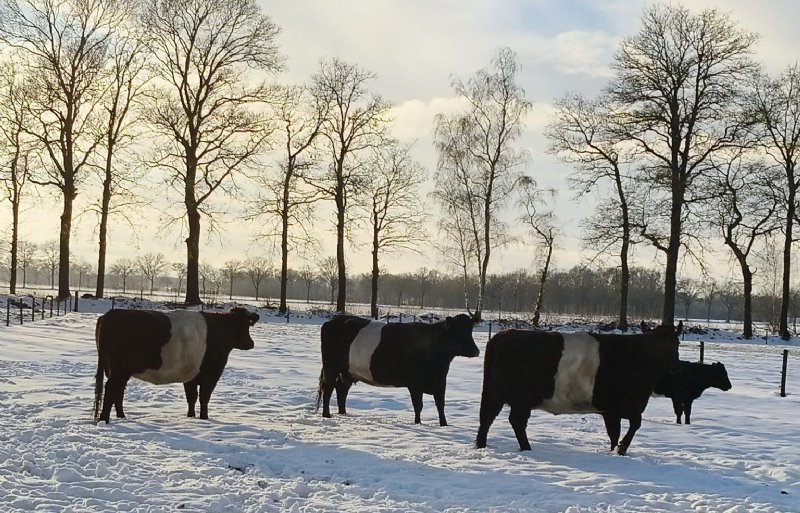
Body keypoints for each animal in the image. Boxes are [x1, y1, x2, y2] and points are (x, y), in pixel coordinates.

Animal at [93, 307, 259, 424]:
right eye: (246, 325)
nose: (251, 344)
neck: (221, 330)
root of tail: (110, 314)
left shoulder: (191, 375)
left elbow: (192, 397)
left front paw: (190, 416)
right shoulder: (212, 374)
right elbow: (204, 397)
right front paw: (204, 418)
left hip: (116, 370)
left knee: (118, 391)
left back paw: (121, 416)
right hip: (120, 370)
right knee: (111, 390)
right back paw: (104, 419)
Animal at [316, 313, 479, 426]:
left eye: (470, 330)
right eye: (459, 332)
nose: (476, 351)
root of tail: (333, 320)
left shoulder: (440, 383)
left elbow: (441, 405)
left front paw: (444, 425)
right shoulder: (415, 384)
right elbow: (418, 406)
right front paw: (418, 423)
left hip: (347, 372)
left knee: (341, 390)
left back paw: (343, 414)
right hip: (331, 367)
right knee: (328, 389)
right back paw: (327, 415)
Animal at [475, 324, 681, 455]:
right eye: (677, 344)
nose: (676, 365)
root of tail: (502, 335)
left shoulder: (610, 410)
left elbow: (614, 432)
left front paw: (614, 449)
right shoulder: (624, 405)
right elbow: (633, 425)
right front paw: (622, 448)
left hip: (495, 392)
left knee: (487, 416)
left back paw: (481, 445)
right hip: (521, 398)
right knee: (515, 421)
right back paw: (526, 448)